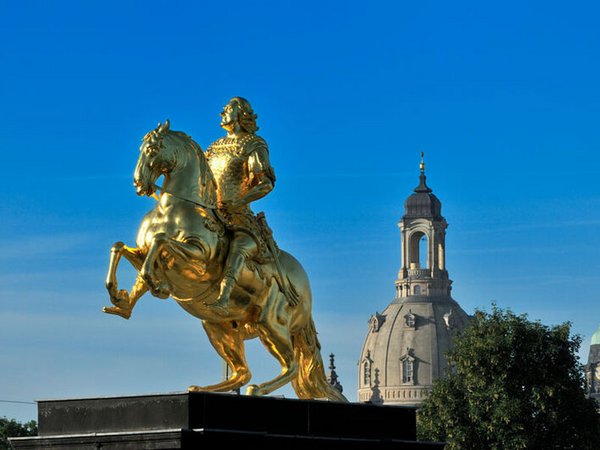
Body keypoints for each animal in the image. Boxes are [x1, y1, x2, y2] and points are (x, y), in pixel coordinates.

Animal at [103, 120, 346, 400]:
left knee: (291, 366)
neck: (173, 208)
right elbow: (121, 248)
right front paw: (119, 297)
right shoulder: (142, 252)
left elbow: (160, 242)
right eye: (141, 148)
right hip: (217, 328)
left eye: (153, 149)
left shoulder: (198, 259)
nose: (138, 183)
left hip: (271, 323)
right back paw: (203, 388)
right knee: (242, 372)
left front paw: (157, 284)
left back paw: (257, 389)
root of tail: (304, 285)